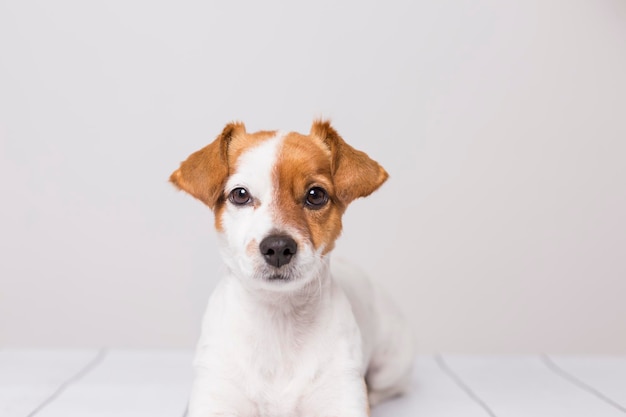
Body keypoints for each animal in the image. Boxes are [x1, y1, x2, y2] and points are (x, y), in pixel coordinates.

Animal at [169, 120, 414, 416]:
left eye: (316, 195)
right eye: (240, 194)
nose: (277, 247)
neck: (279, 318)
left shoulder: (342, 395)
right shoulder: (215, 396)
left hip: (391, 364)